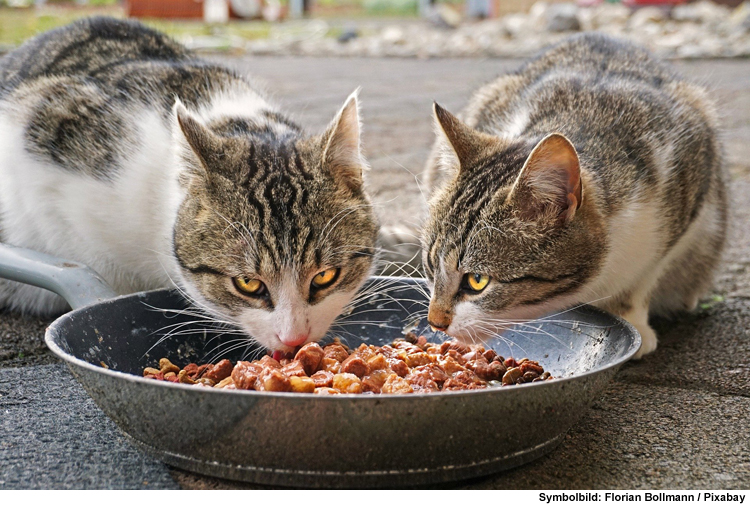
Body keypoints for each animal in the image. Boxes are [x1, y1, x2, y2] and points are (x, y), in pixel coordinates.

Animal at [424, 34, 728, 360]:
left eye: (477, 281)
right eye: (430, 265)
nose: (435, 322)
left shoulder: (690, 178)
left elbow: (643, 277)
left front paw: (631, 318)